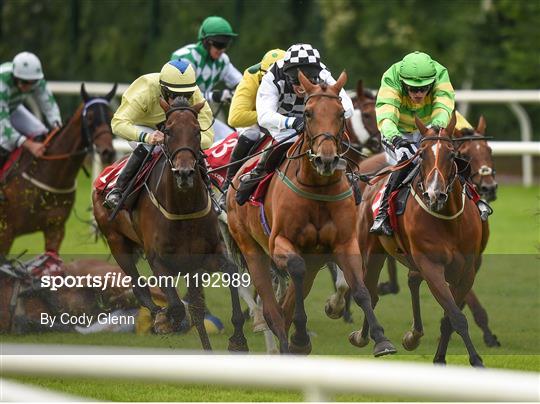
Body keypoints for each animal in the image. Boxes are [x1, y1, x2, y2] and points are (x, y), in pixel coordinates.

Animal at [92, 97, 248, 350]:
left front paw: (238, 339)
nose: (184, 173)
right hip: (117, 242)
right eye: (168, 131)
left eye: (197, 131)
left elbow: (231, 273)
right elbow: (175, 307)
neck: (183, 209)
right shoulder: (158, 261)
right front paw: (165, 321)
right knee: (139, 287)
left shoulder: (207, 257)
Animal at [224, 71, 396, 356]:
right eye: (307, 113)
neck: (318, 187)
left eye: (340, 112)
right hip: (250, 248)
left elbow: (359, 289)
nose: (326, 159)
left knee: (287, 304)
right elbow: (295, 271)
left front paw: (380, 339)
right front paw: (302, 334)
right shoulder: (280, 244)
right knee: (272, 309)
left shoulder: (344, 242)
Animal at [354, 113, 486, 366]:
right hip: (371, 251)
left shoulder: (467, 271)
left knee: (407, 282)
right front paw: (476, 360)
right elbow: (457, 316)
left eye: (452, 154)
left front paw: (441, 358)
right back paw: (371, 339)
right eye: (422, 154)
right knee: (369, 291)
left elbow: (450, 317)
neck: (449, 221)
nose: (435, 194)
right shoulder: (431, 266)